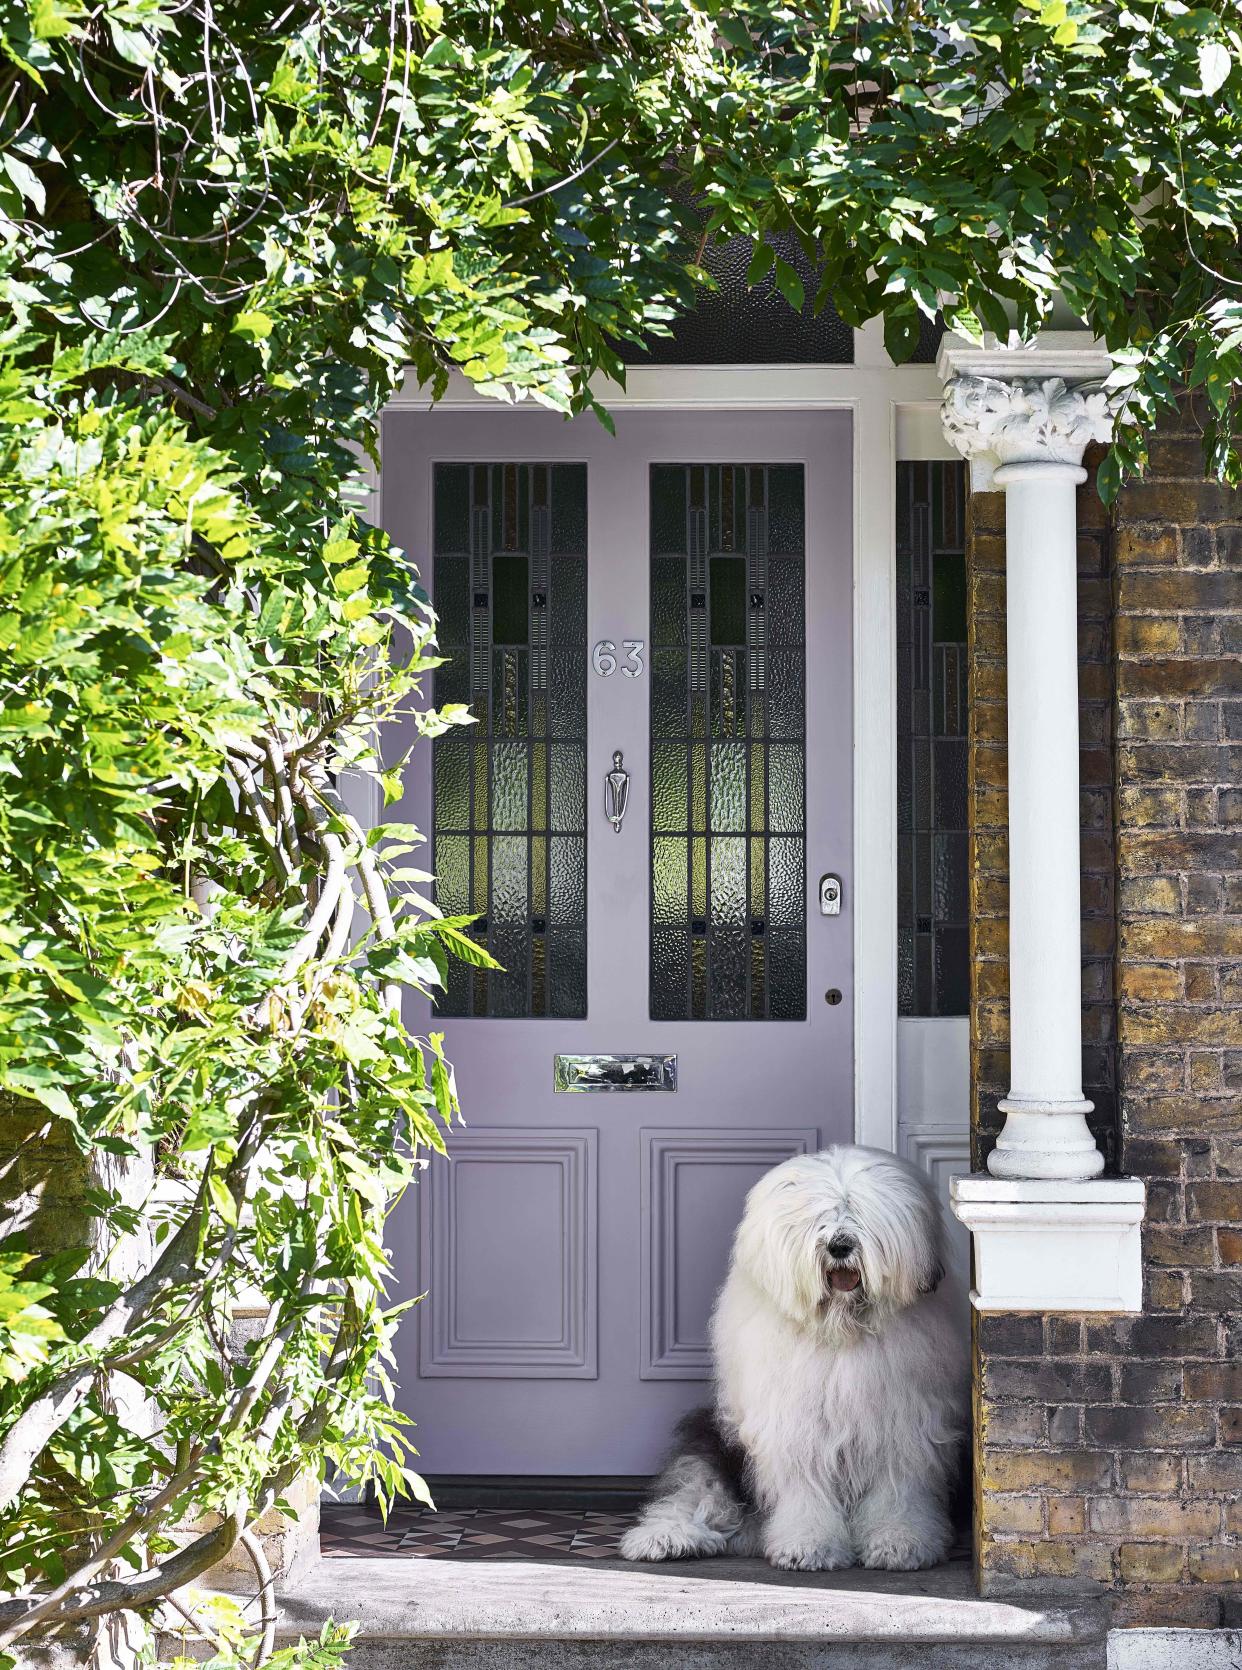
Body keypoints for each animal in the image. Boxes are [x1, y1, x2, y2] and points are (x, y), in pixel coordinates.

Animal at [624, 1142, 968, 1569]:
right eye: (818, 1217)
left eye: (859, 1210)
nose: (840, 1245)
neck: (841, 1333)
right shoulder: (795, 1430)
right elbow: (806, 1493)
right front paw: (809, 1546)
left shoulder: (903, 1431)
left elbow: (897, 1494)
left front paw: (900, 1543)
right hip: (716, 1448)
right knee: (693, 1494)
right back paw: (663, 1540)